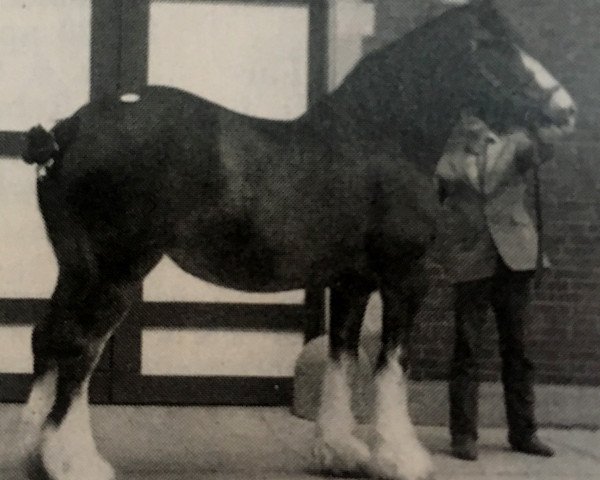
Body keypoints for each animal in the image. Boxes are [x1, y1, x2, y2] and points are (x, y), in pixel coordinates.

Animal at [18, 0, 576, 480]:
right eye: (493, 47)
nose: (567, 111)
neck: (381, 138)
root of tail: (63, 133)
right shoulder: (404, 279)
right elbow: (391, 364)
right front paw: (401, 458)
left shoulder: (351, 282)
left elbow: (342, 357)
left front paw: (339, 450)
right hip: (115, 271)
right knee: (79, 350)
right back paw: (74, 463)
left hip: (78, 270)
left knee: (49, 340)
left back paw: (34, 451)